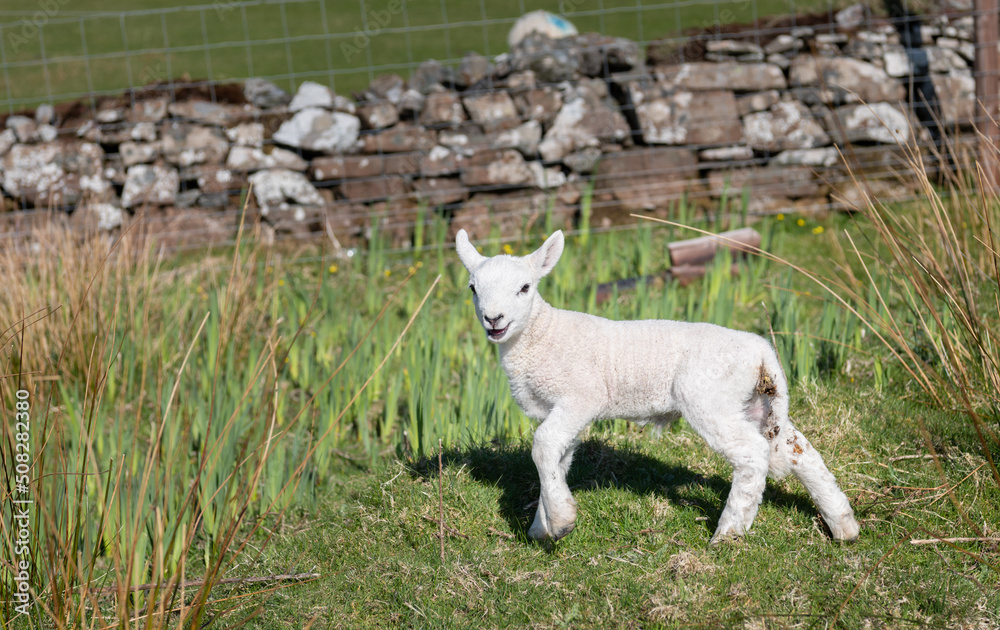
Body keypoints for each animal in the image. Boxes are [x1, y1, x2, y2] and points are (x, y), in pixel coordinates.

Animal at [455, 228, 860, 544]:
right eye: (473, 288)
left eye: (525, 288)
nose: (494, 319)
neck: (541, 336)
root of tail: (761, 349)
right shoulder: (558, 411)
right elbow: (556, 458)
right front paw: (544, 526)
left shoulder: (581, 397)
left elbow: (541, 448)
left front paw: (560, 521)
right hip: (756, 401)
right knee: (798, 451)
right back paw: (843, 525)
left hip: (709, 398)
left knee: (753, 454)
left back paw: (728, 533)